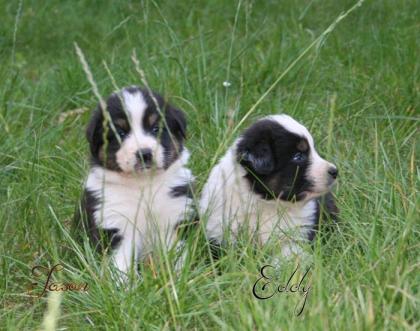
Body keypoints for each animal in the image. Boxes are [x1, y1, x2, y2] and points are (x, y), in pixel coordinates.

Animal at [76, 87, 194, 278]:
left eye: (156, 129)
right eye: (121, 133)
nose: (144, 154)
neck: (143, 185)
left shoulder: (175, 215)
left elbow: (177, 254)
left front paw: (181, 276)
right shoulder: (115, 224)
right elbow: (119, 264)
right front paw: (122, 285)